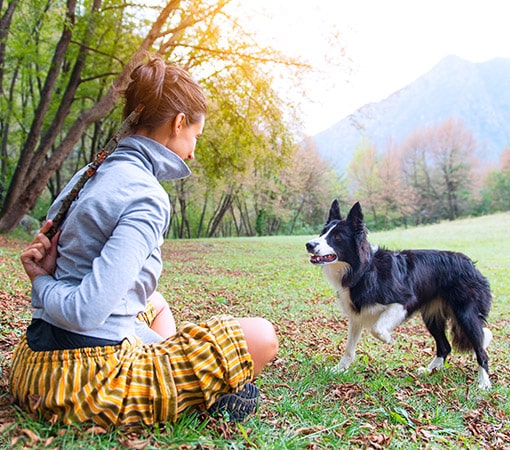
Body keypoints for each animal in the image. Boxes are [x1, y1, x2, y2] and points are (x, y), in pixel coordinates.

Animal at [304, 202, 492, 388]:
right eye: (322, 233)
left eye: (337, 237)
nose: (309, 245)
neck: (364, 269)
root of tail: (471, 265)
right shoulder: (357, 314)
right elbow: (349, 348)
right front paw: (339, 369)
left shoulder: (404, 300)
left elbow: (377, 328)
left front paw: (388, 339)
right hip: (431, 316)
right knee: (445, 347)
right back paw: (429, 370)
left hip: (466, 315)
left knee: (481, 350)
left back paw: (484, 383)